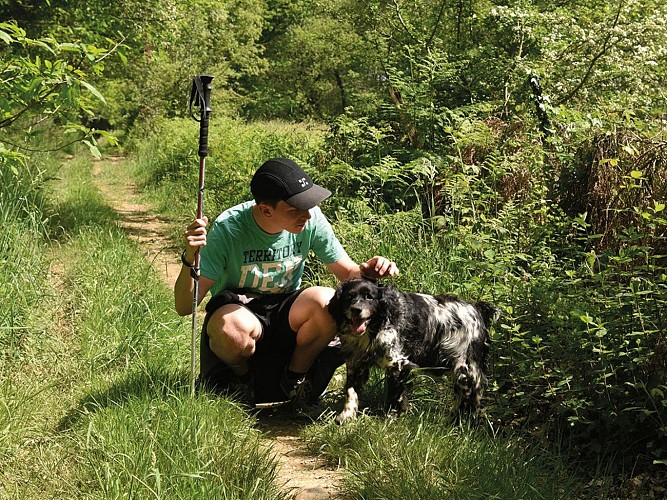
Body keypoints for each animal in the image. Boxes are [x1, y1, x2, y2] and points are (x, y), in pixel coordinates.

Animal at [328, 280, 500, 424]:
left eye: (369, 297)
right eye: (349, 296)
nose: (356, 310)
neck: (375, 327)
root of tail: (477, 309)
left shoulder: (399, 365)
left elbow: (395, 397)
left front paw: (390, 420)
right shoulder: (356, 364)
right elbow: (351, 392)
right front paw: (347, 416)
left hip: (466, 370)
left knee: (472, 401)